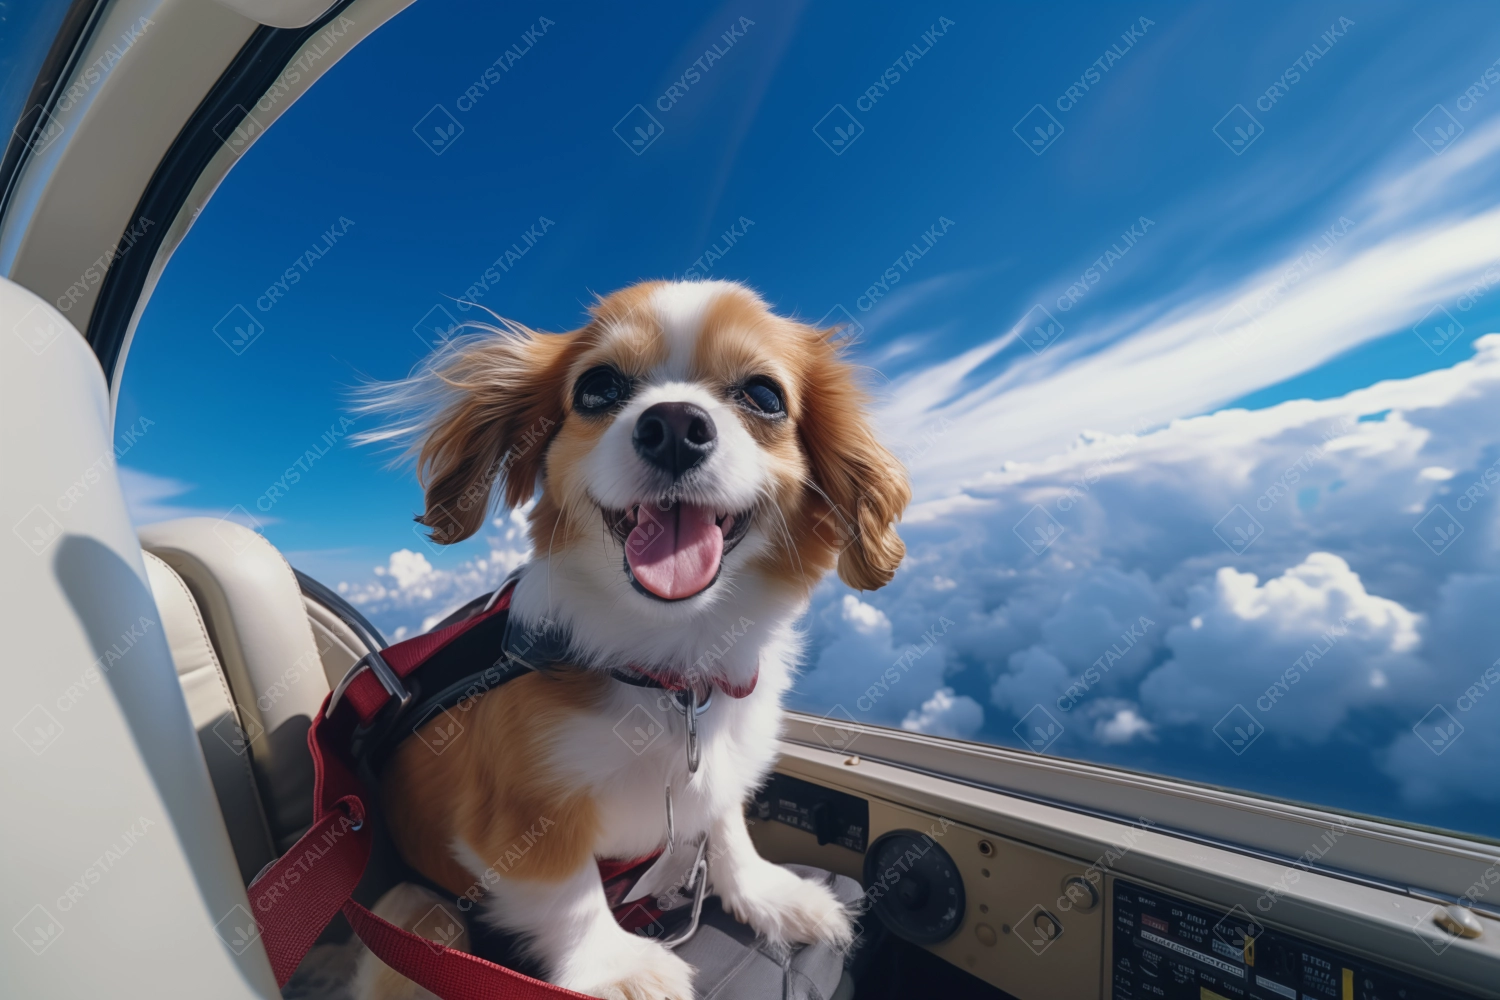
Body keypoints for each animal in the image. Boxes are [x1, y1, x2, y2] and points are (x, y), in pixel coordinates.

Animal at [354, 280, 912, 1000]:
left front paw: (765, 893)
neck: (671, 670)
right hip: (419, 909)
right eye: (597, 388)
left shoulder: (720, 767)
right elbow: (565, 887)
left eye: (764, 395)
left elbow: (724, 824)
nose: (674, 425)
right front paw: (616, 966)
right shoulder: (513, 815)